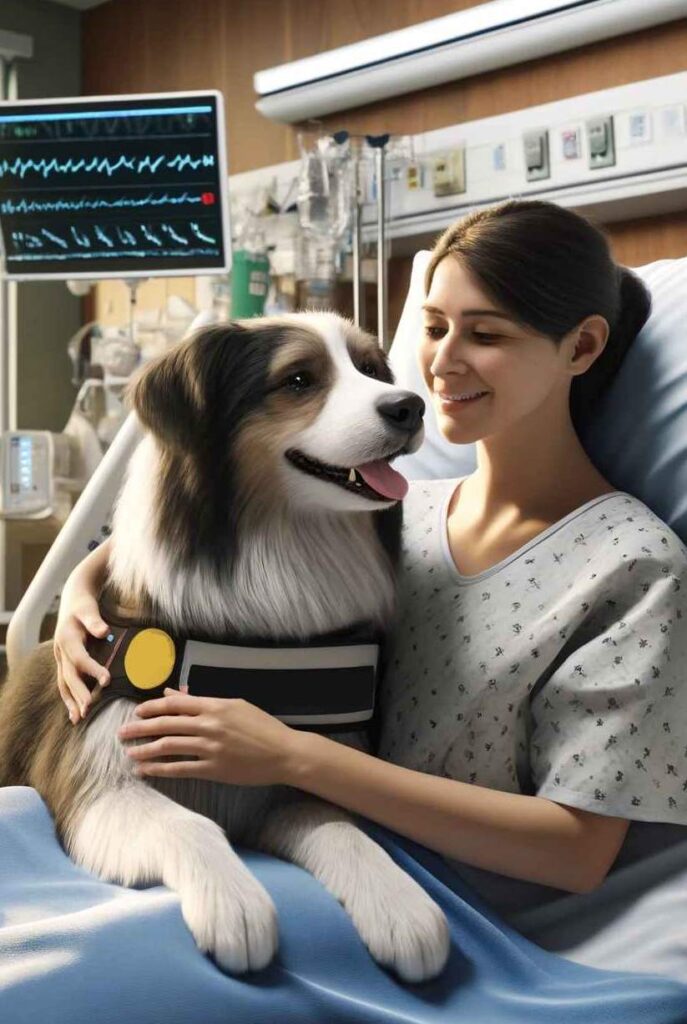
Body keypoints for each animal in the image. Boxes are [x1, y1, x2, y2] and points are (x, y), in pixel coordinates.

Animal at [0, 311, 450, 983]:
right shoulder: (98, 775)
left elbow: (347, 831)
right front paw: (235, 904)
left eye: (372, 369)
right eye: (298, 379)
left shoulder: (303, 767)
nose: (410, 407)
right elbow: (187, 823)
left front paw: (402, 905)